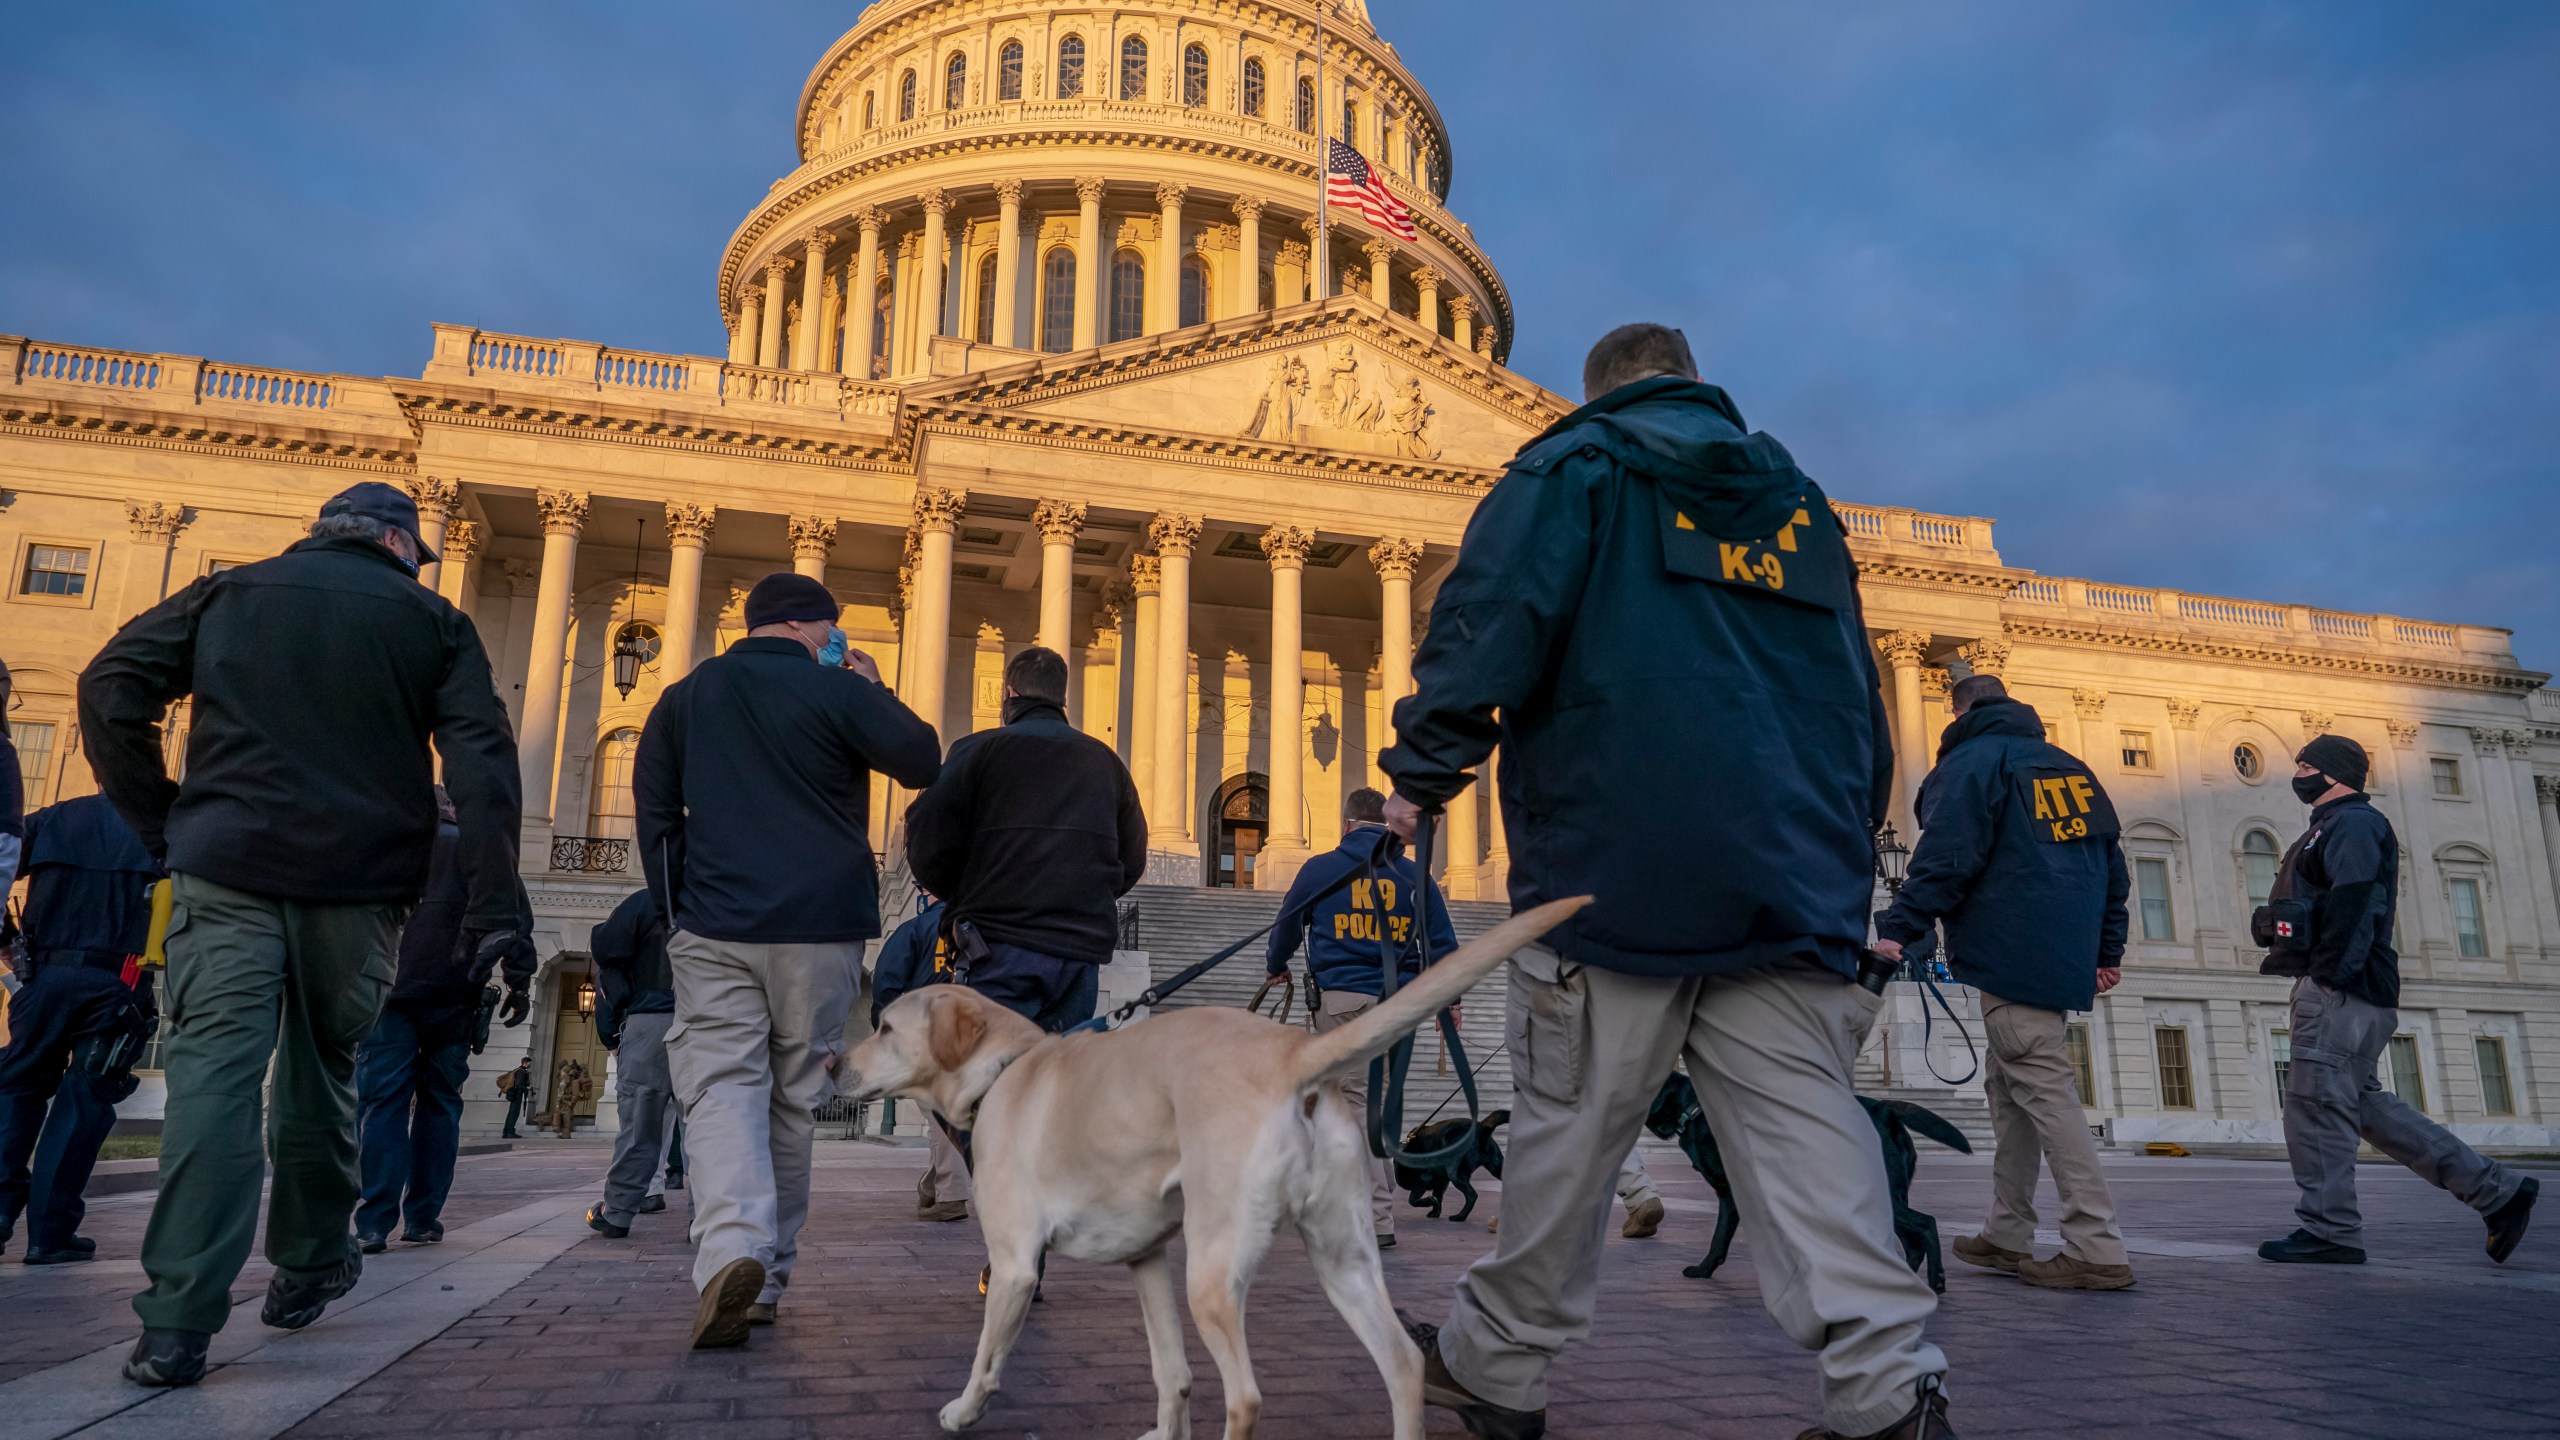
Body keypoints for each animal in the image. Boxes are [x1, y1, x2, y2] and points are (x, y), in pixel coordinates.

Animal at [849, 891, 1587, 1424]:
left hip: (1212, 1273)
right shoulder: (1147, 1261)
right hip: (1341, 1260)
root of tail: (1294, 1051)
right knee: (1402, 1367)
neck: (1009, 1064)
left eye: (883, 1026)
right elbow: (1171, 1375)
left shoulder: (1013, 1267)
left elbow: (987, 1356)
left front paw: (962, 1410)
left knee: (1246, 1399)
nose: (834, 1063)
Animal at [1638, 1065, 1976, 1291]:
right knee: (1912, 1242)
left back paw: (1935, 1280)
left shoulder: (1736, 1194)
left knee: (1926, 1223)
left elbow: (1720, 1237)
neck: (1694, 1108)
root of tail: (1884, 1109)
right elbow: (1723, 1240)